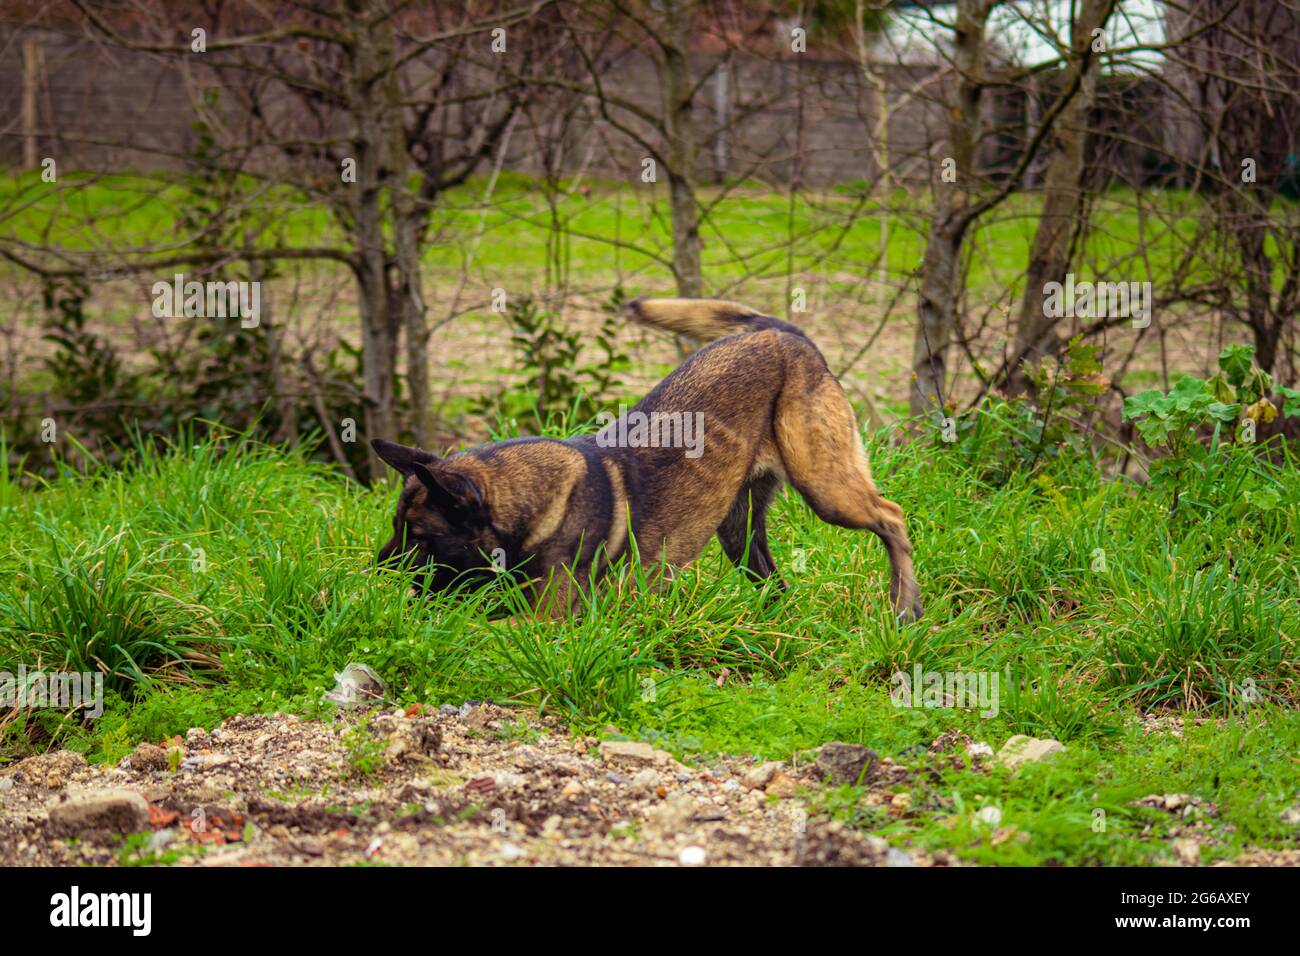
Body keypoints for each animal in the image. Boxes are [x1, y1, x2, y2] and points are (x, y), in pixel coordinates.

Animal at [377, 297, 925, 621]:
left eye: (421, 538)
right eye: (397, 528)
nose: (376, 573)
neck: (534, 503)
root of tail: (782, 332)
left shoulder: (542, 620)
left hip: (824, 487)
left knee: (892, 517)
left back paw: (905, 608)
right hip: (738, 528)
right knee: (773, 576)